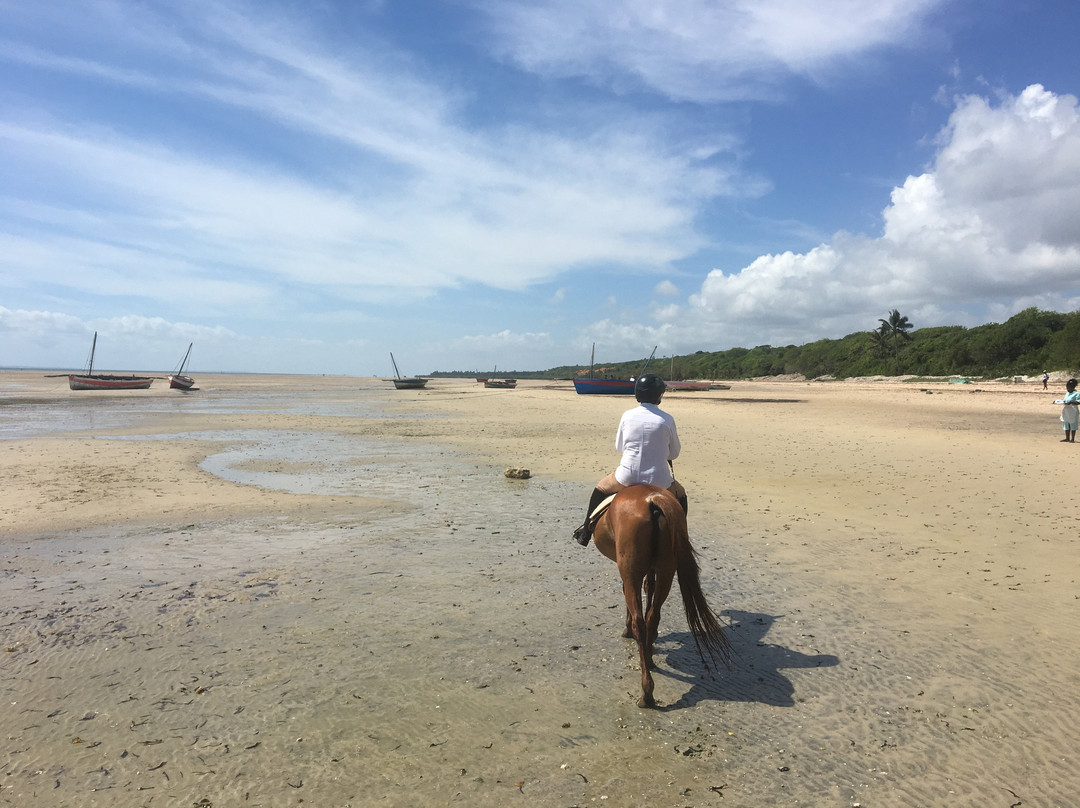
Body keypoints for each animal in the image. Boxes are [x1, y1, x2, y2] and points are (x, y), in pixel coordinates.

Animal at [587, 483, 730, 704]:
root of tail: (653, 500)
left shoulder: (629, 573)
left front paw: (627, 629)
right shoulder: (653, 570)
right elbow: (649, 589)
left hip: (632, 571)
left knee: (640, 621)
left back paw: (646, 691)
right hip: (667, 570)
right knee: (653, 615)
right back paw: (649, 655)